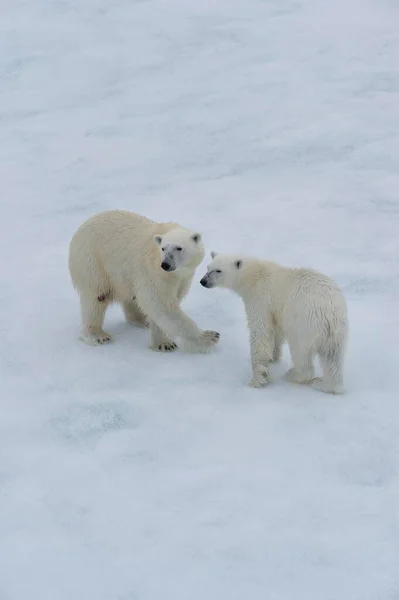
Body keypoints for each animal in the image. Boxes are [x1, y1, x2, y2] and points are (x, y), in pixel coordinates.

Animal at [67, 210, 220, 352]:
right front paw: (209, 336)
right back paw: (97, 335)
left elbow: (162, 304)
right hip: (93, 262)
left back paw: (141, 319)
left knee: (132, 296)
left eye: (179, 248)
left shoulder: (183, 277)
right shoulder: (152, 270)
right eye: (163, 248)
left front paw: (162, 343)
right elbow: (159, 303)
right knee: (97, 297)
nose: (166, 264)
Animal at [202, 252, 348, 394]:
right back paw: (326, 385)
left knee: (300, 351)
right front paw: (273, 356)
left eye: (218, 270)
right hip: (337, 330)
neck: (253, 275)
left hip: (302, 322)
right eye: (208, 268)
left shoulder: (260, 298)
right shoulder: (276, 310)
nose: (203, 281)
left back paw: (293, 375)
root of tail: (328, 312)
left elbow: (260, 330)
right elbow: (275, 330)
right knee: (332, 357)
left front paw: (258, 377)